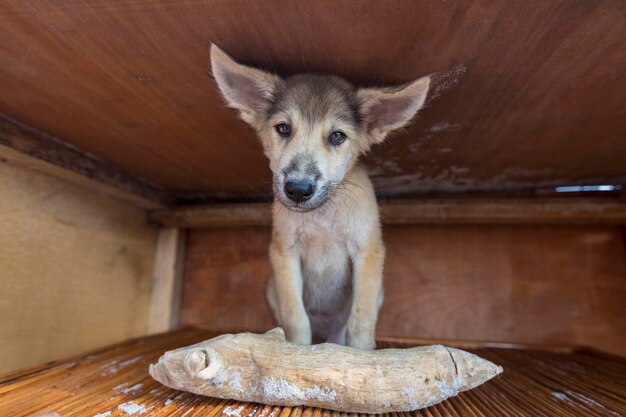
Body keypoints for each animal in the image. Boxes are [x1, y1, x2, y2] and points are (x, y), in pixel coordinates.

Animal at [211, 44, 428, 348]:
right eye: (283, 128)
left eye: (337, 136)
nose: (298, 190)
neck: (322, 217)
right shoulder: (284, 252)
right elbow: (296, 318)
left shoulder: (368, 251)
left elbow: (361, 322)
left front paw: (362, 355)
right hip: (270, 287)